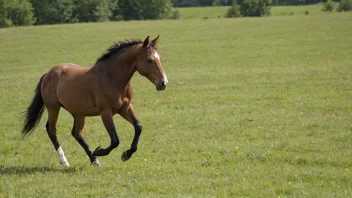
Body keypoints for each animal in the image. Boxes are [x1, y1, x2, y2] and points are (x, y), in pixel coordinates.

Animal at [21, 36, 168, 167]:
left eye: (159, 59)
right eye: (149, 60)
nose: (163, 83)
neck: (112, 78)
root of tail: (48, 74)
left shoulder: (125, 108)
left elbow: (138, 127)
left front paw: (126, 154)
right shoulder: (106, 113)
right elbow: (115, 140)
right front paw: (100, 151)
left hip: (78, 113)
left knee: (76, 133)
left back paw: (94, 160)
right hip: (53, 108)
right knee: (52, 130)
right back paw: (65, 161)